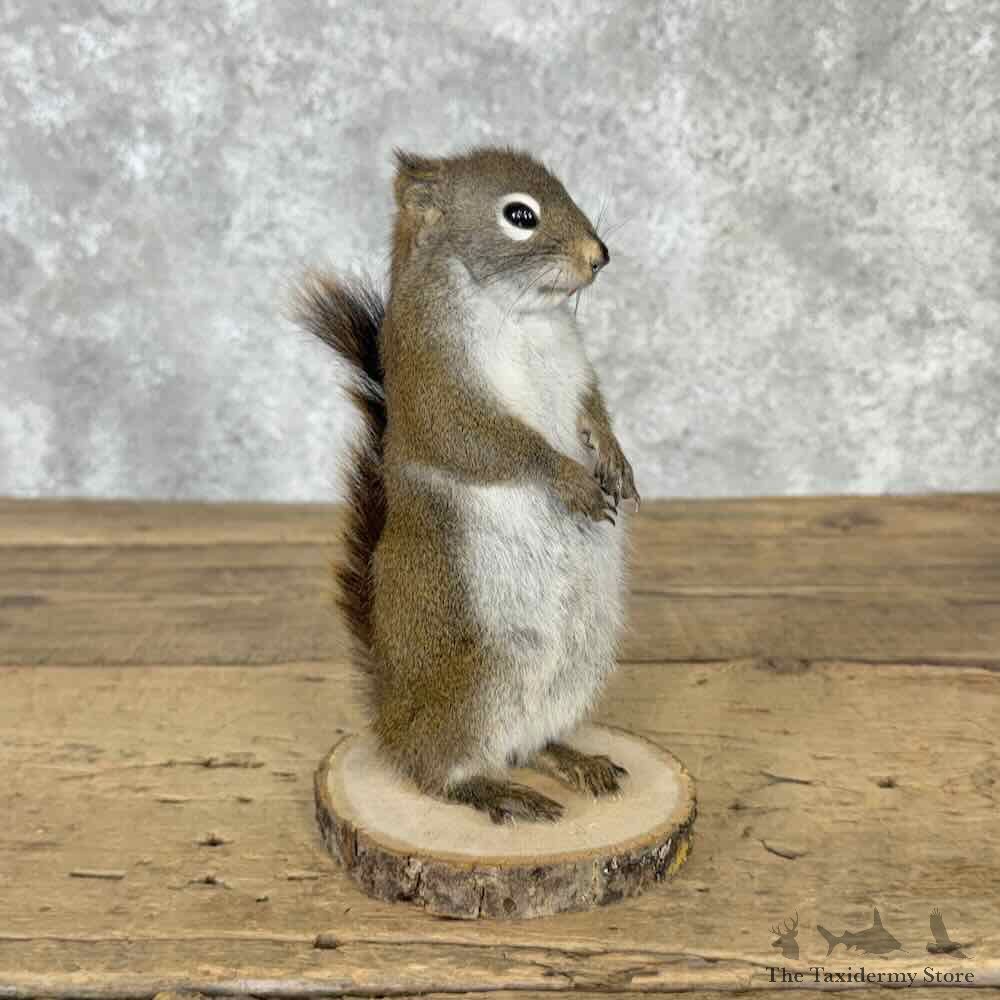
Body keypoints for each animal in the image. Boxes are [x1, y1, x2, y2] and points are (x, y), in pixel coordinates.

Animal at [294, 146, 640, 823]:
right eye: (520, 215)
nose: (600, 255)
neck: (523, 315)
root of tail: (393, 717)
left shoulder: (577, 371)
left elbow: (591, 408)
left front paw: (615, 459)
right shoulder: (437, 387)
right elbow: (492, 445)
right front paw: (572, 480)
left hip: (574, 667)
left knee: (525, 744)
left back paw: (569, 759)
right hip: (476, 679)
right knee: (437, 772)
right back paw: (491, 790)